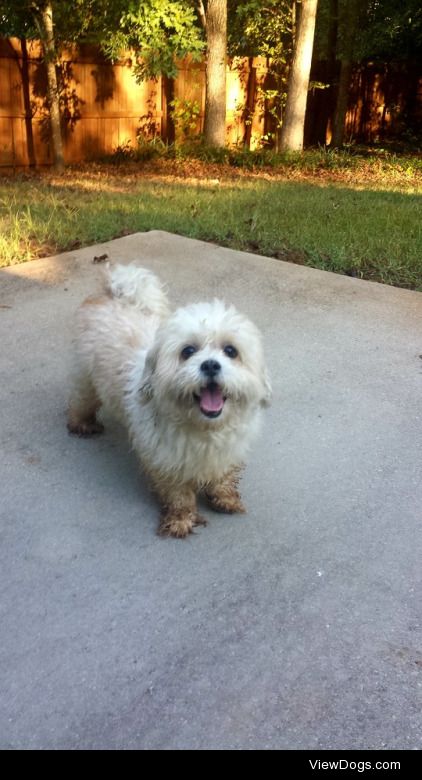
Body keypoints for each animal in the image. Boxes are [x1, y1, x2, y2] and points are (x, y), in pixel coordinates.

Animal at [67, 262, 270, 536]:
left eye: (230, 351)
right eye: (188, 351)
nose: (210, 365)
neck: (204, 429)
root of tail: (115, 293)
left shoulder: (228, 451)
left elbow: (223, 477)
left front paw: (224, 497)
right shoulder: (165, 460)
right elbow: (178, 493)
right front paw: (181, 519)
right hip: (86, 378)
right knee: (81, 400)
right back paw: (81, 423)